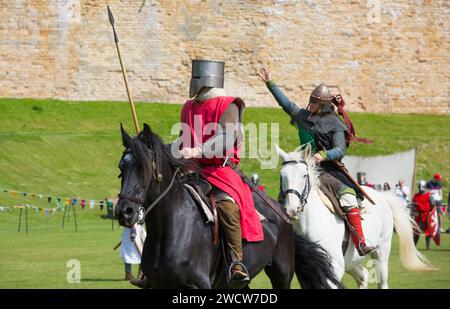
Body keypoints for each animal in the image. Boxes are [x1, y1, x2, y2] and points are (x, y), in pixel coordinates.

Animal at [114, 123, 340, 288]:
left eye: (144, 167)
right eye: (121, 168)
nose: (124, 211)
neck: (167, 230)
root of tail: (283, 214)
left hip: (281, 273)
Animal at [276, 143, 434, 288]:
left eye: (304, 175)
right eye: (282, 176)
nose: (292, 209)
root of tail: (381, 197)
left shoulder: (334, 268)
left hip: (381, 253)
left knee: (381, 281)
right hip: (350, 261)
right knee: (363, 275)